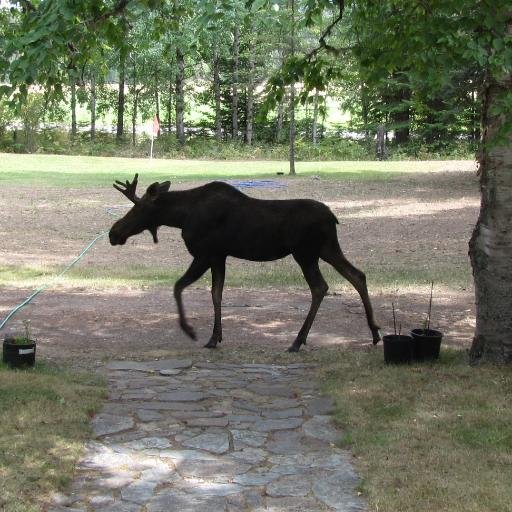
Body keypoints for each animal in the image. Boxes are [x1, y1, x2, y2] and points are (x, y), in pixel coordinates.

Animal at [109, 173, 380, 352]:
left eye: (137, 209)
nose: (113, 233)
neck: (181, 216)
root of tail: (333, 218)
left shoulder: (204, 253)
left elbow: (178, 287)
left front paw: (190, 330)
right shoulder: (219, 255)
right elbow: (216, 293)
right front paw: (215, 337)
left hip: (305, 253)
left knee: (320, 287)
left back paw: (297, 341)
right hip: (327, 249)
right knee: (357, 275)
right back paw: (375, 333)